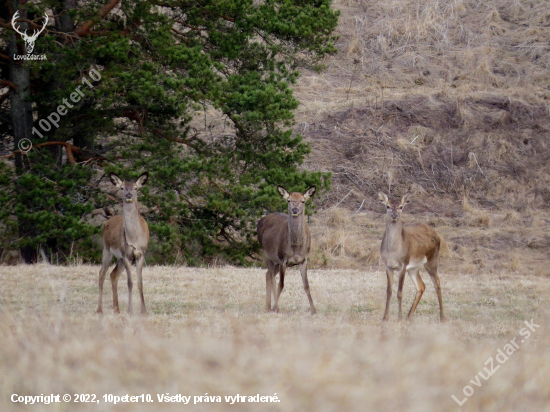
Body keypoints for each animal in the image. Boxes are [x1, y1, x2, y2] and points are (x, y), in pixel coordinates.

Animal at [96, 172, 149, 314]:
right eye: (122, 188)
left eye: (136, 188)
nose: (128, 195)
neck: (134, 238)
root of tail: (108, 221)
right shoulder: (126, 254)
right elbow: (130, 282)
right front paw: (130, 310)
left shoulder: (141, 253)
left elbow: (140, 282)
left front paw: (143, 311)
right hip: (107, 249)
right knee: (101, 274)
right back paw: (100, 309)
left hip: (118, 257)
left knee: (113, 274)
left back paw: (116, 309)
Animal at [258, 187, 320, 316]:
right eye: (289, 200)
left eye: (303, 201)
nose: (295, 210)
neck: (296, 246)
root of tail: (260, 220)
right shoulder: (283, 259)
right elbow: (281, 284)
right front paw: (276, 308)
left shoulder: (303, 259)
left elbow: (306, 285)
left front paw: (313, 310)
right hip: (266, 254)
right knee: (272, 278)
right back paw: (272, 307)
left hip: (275, 261)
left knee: (268, 275)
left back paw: (268, 306)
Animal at [380, 192, 448, 324]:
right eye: (387, 206)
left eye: (401, 207)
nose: (395, 215)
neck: (393, 252)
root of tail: (437, 234)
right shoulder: (387, 265)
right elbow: (389, 291)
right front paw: (385, 317)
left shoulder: (403, 264)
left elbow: (399, 292)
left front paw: (399, 318)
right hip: (413, 267)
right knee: (421, 286)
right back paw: (409, 316)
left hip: (432, 259)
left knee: (437, 283)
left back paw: (442, 317)